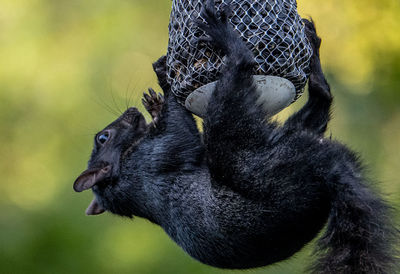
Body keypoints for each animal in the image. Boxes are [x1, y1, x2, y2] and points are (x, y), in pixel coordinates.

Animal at [73, 1, 398, 272]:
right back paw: (226, 38)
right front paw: (165, 83)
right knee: (239, 78)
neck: (123, 169)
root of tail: (326, 171)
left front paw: (155, 99)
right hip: (246, 156)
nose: (130, 112)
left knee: (316, 107)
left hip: (279, 141)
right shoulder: (154, 158)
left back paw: (314, 57)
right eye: (103, 138)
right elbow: (181, 133)